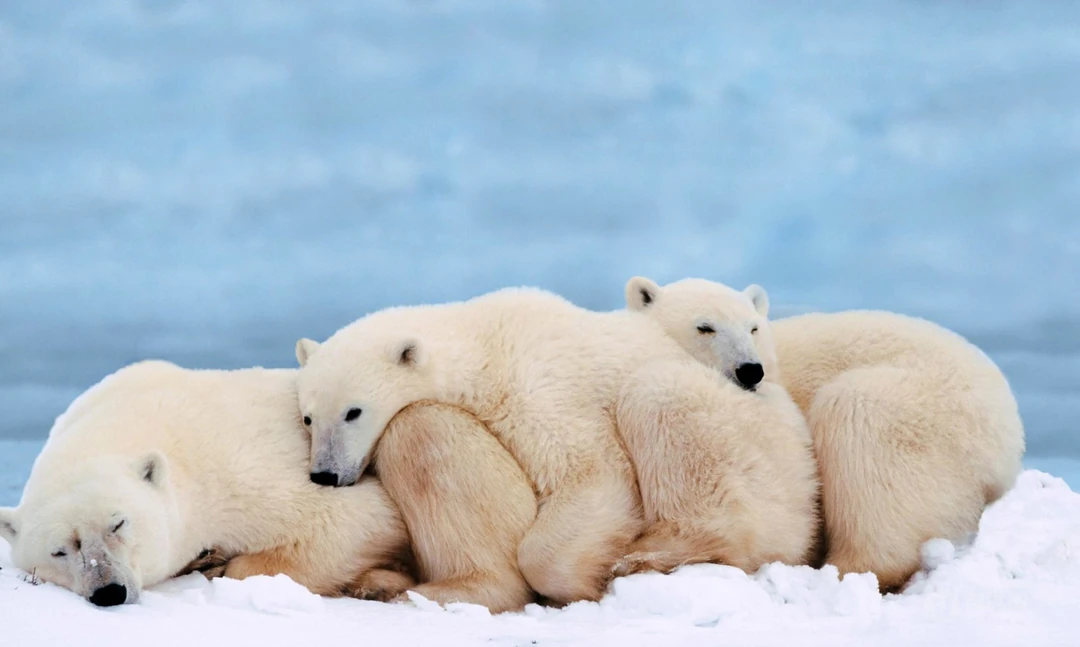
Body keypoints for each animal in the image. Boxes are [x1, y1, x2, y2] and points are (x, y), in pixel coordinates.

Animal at [0, 360, 536, 612]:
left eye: (119, 523)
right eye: (60, 550)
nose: (108, 591)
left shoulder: (239, 470)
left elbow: (354, 519)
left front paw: (221, 562)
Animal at [292, 286, 773, 604]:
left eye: (353, 412)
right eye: (309, 417)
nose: (326, 474)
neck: (485, 346)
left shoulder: (539, 388)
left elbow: (592, 472)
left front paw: (587, 582)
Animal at [625, 275, 1026, 592]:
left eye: (753, 327)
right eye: (704, 326)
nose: (750, 370)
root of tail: (1009, 439)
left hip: (927, 412)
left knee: (858, 424)